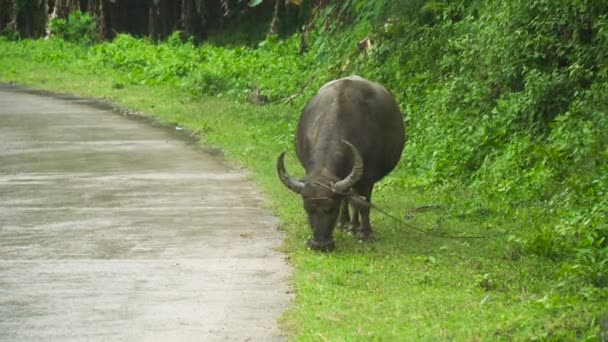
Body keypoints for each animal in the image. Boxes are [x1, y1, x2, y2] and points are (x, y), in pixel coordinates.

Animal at [278, 75, 406, 251]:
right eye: (307, 209)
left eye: (331, 209)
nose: (319, 245)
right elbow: (348, 199)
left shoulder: (368, 179)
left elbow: (363, 205)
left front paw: (366, 235)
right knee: (348, 198)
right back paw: (346, 224)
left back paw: (355, 227)